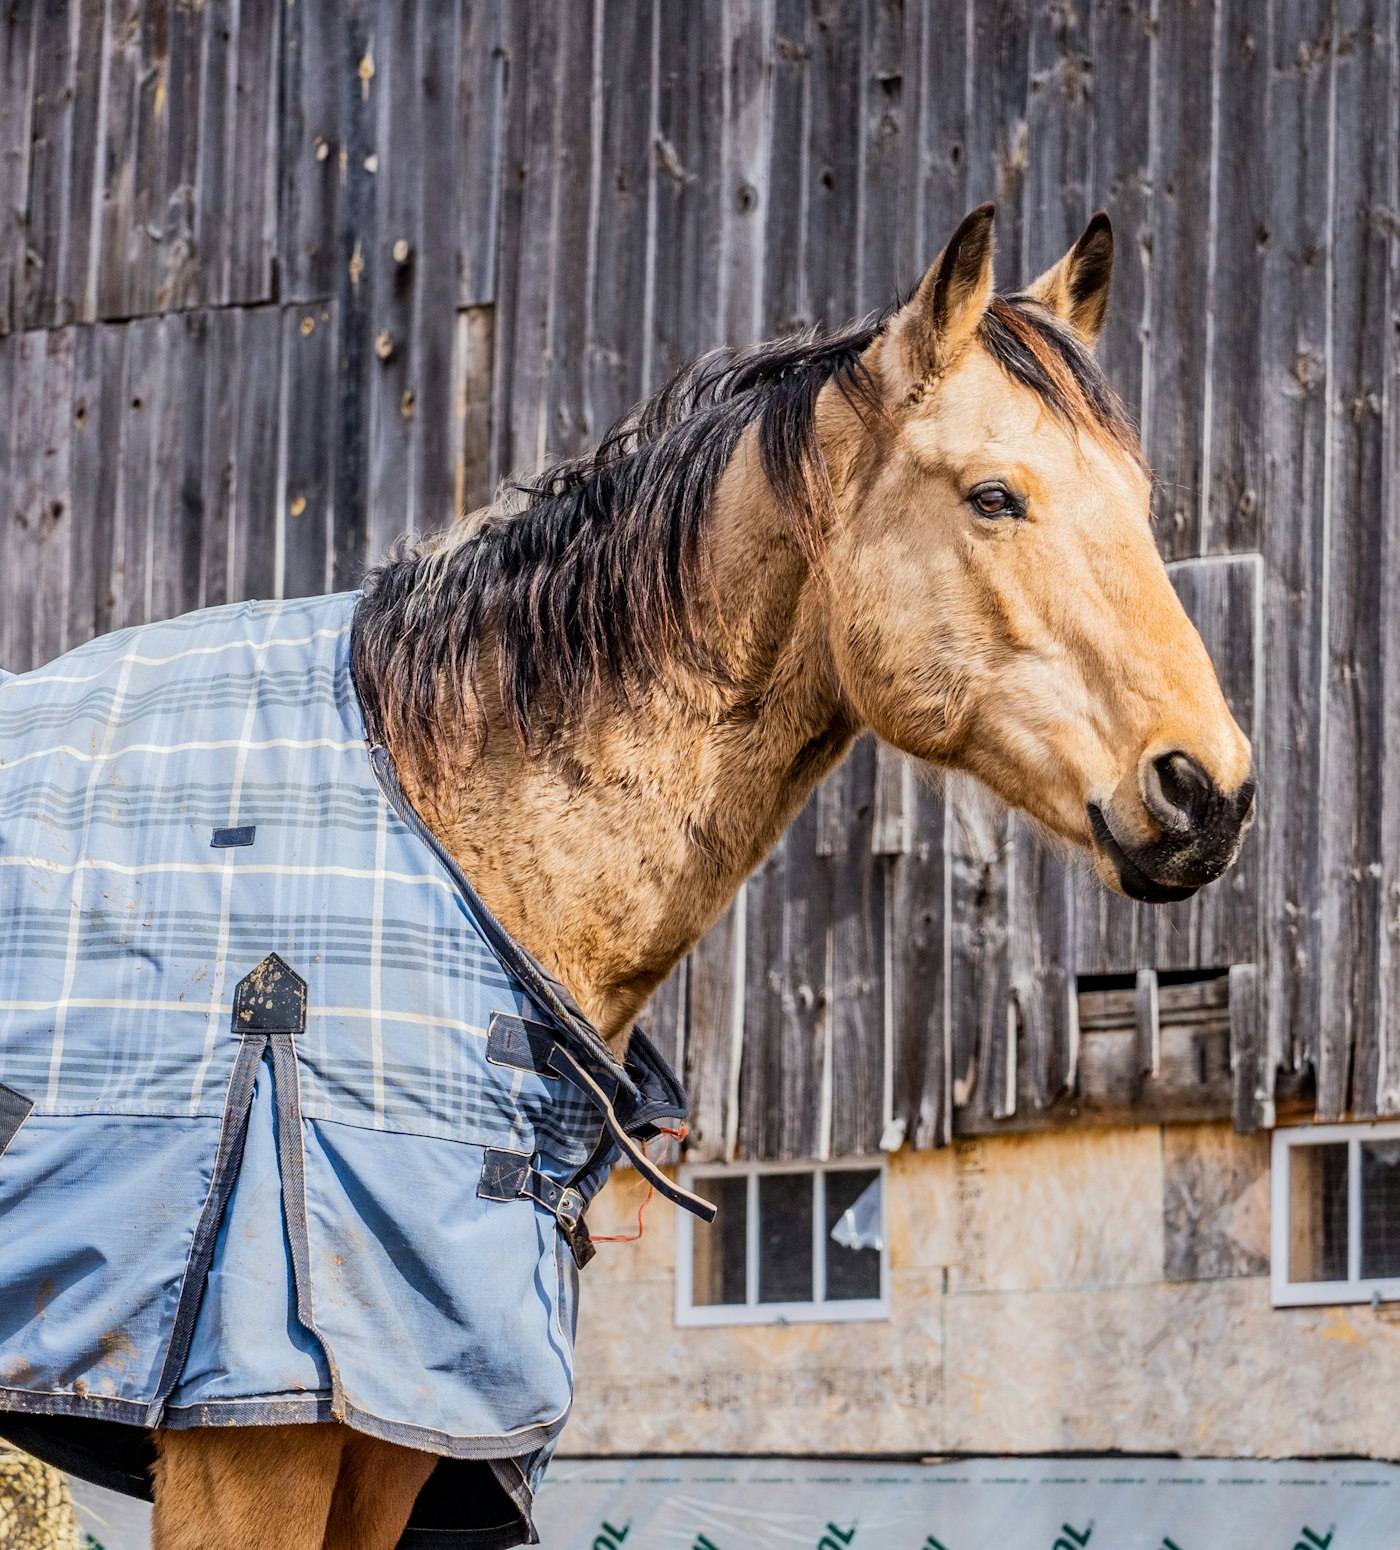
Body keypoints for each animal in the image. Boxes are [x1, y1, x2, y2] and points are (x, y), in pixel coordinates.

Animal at [0, 204, 1254, 1550]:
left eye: (1137, 499)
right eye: (992, 494)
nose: (1208, 789)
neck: (443, 837)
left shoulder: (403, 1426)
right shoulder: (252, 1433)